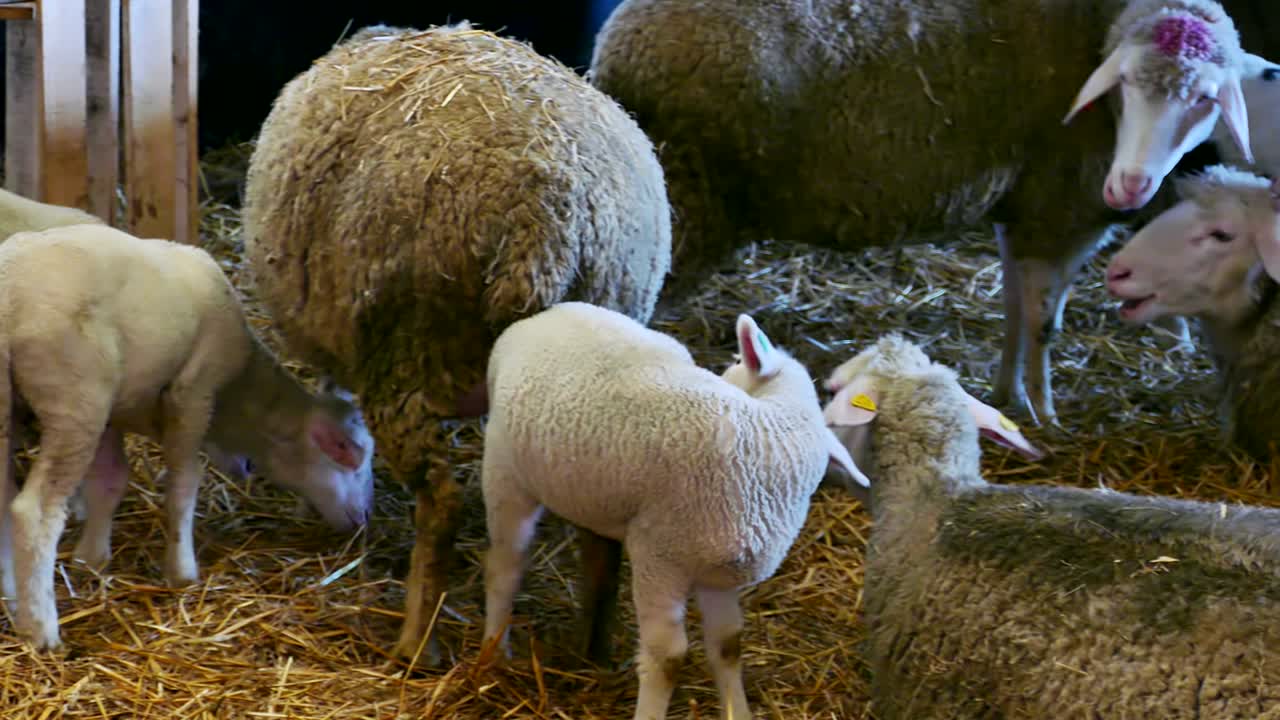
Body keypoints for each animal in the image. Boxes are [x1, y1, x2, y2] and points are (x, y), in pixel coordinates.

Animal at [0, 223, 376, 652]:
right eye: (349, 454)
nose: (365, 518)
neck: (237, 398)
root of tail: (11, 293)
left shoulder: (115, 408)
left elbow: (109, 481)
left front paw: (91, 558)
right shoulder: (193, 392)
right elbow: (184, 484)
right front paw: (182, 571)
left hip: (23, 404)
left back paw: (11, 598)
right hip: (77, 400)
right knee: (34, 511)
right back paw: (40, 628)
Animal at [240, 23, 672, 663]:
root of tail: (546, 220)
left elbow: (333, 414)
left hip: (403, 354)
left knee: (442, 506)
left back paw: (416, 642)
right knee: (599, 530)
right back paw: (590, 649)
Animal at [480, 301, 867, 720]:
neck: (765, 435)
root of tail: (543, 316)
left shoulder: (719, 573)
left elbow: (729, 645)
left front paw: (737, 710)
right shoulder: (658, 558)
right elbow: (668, 659)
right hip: (505, 474)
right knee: (504, 567)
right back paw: (492, 652)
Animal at [588, 0, 1254, 427]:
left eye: (1205, 99)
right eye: (1126, 85)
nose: (1131, 190)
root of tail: (614, 46)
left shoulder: (1024, 206)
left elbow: (1015, 307)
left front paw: (1008, 392)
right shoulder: (1060, 209)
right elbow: (1044, 323)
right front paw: (1044, 413)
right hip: (684, 207)